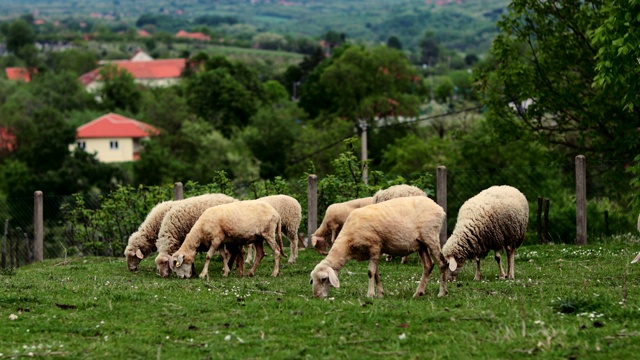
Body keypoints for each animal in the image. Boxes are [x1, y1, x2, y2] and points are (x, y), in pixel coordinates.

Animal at [308, 195, 448, 300]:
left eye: (324, 279)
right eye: (312, 280)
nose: (317, 296)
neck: (348, 242)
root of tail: (439, 208)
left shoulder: (374, 247)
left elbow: (370, 273)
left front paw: (370, 294)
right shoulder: (376, 252)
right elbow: (376, 274)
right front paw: (380, 294)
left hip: (430, 236)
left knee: (442, 263)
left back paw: (442, 293)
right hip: (421, 244)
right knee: (428, 265)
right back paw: (418, 293)